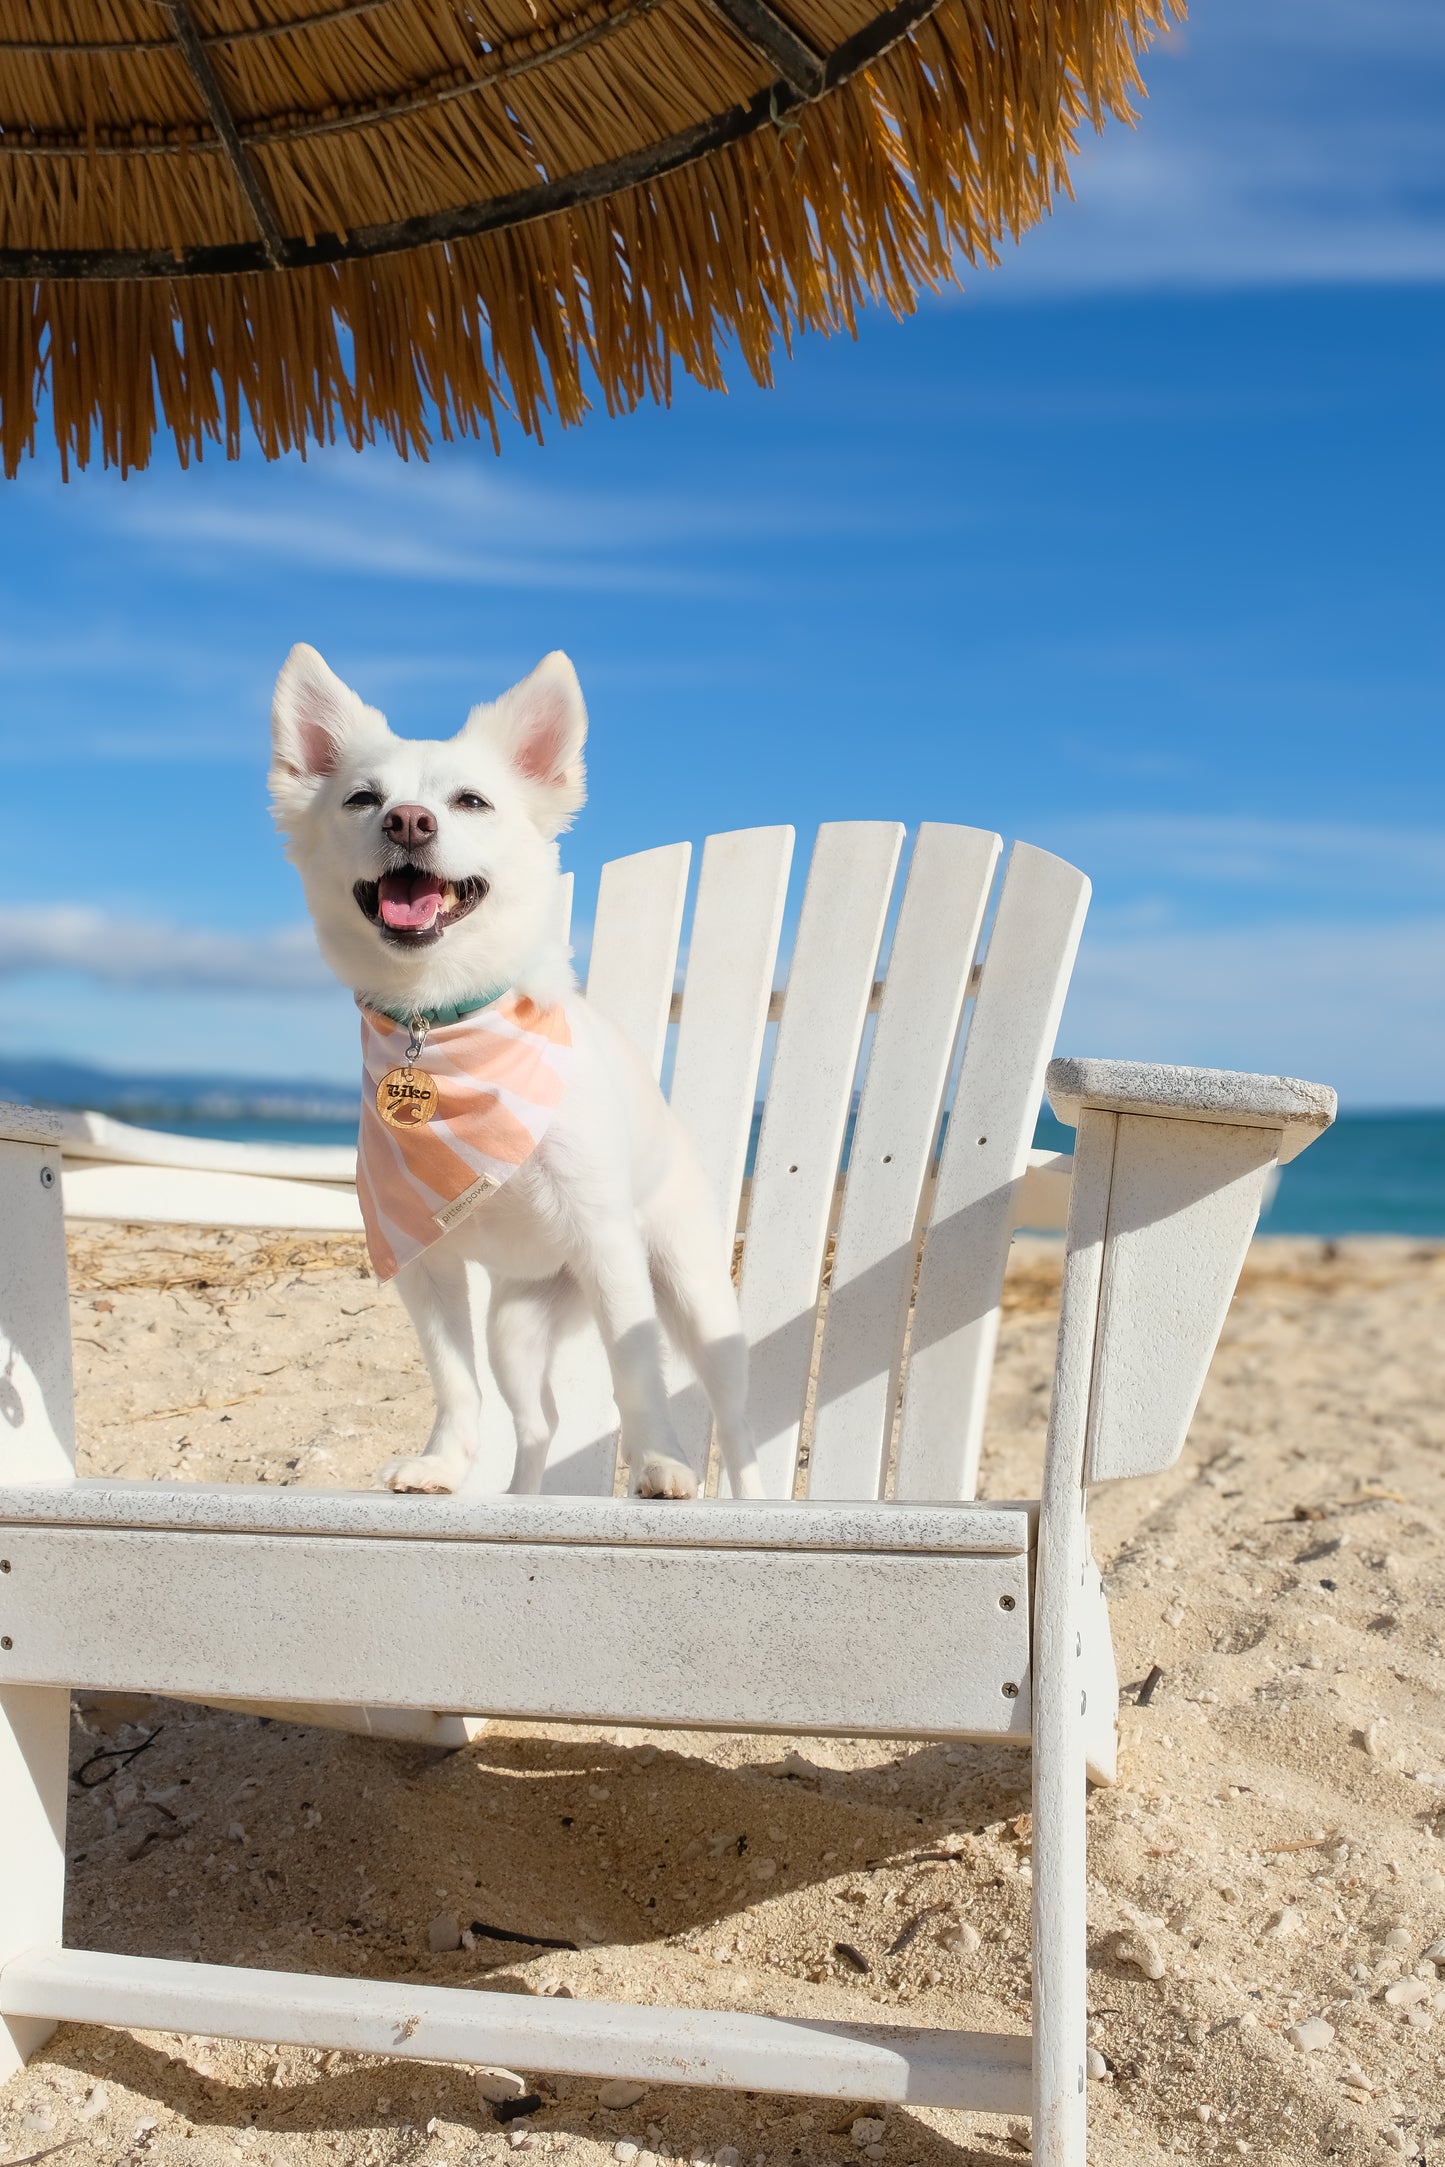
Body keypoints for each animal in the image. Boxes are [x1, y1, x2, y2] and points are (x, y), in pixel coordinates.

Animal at [274, 632, 766, 1499]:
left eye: (471, 801)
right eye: (361, 799)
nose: (409, 820)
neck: (442, 1023)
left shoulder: (608, 1247)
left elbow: (635, 1371)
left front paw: (659, 1460)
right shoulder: (424, 1263)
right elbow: (451, 1377)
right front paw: (442, 1460)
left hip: (696, 1296)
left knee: (734, 1421)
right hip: (515, 1323)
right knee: (537, 1419)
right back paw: (520, 1494)